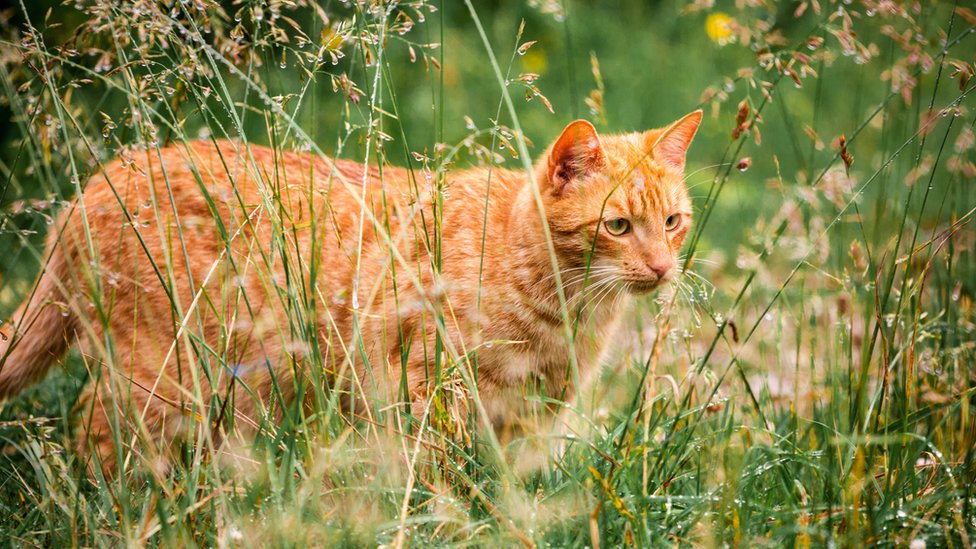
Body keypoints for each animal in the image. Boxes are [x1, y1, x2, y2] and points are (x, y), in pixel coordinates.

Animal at [0, 110, 700, 470]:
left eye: (672, 222)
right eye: (617, 226)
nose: (661, 269)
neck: (566, 310)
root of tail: (91, 184)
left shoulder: (528, 417)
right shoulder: (426, 391)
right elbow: (444, 480)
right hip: (165, 373)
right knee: (93, 431)